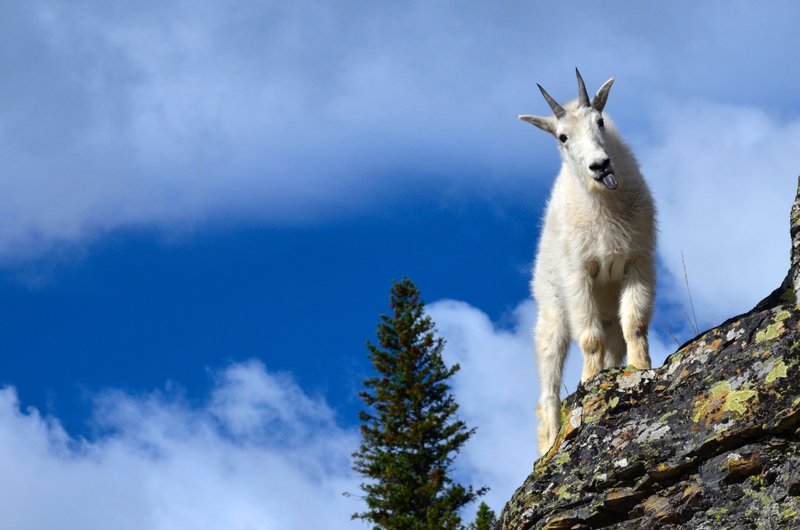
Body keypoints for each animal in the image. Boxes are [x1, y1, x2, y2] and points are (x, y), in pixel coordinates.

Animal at [520, 68, 656, 452]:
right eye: (562, 137)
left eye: (600, 121)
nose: (600, 165)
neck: (603, 206)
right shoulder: (578, 274)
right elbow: (589, 338)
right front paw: (590, 380)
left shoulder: (638, 262)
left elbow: (635, 324)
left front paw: (641, 369)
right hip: (551, 316)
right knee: (547, 389)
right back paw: (550, 442)